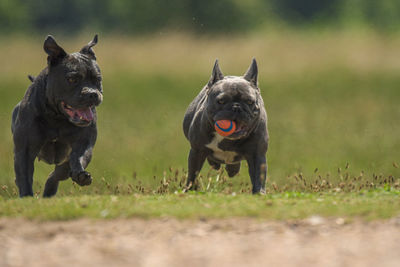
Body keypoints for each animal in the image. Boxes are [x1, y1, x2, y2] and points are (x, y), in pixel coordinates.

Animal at [11, 35, 103, 199]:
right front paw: (27, 197)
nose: (92, 93)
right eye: (72, 79)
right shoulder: (24, 150)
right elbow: (25, 176)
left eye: (98, 79)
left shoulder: (84, 142)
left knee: (56, 174)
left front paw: (80, 175)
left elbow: (76, 158)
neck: (57, 117)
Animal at [184, 59, 268, 195]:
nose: (236, 107)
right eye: (221, 101)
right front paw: (190, 190)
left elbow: (258, 176)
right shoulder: (197, 151)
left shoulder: (257, 154)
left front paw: (259, 192)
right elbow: (193, 174)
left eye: (250, 102)